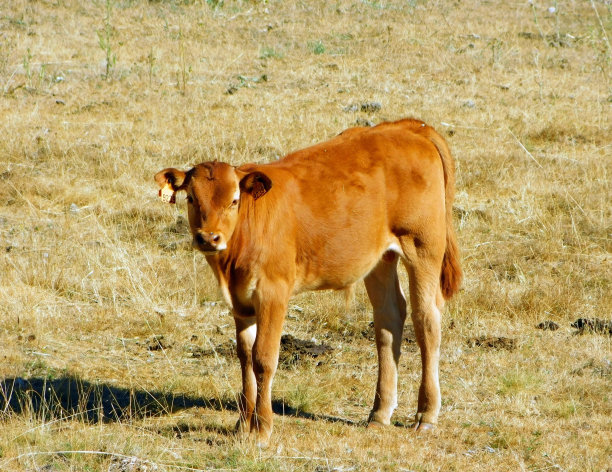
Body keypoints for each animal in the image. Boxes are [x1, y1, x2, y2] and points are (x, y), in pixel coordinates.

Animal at [155, 119, 462, 446]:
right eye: (191, 198)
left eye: (234, 201)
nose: (209, 238)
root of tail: (407, 127)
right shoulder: (240, 301)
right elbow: (244, 358)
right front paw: (242, 424)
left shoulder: (273, 292)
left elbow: (263, 358)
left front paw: (262, 428)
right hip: (380, 257)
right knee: (389, 318)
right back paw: (379, 414)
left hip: (423, 246)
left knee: (426, 319)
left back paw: (426, 414)